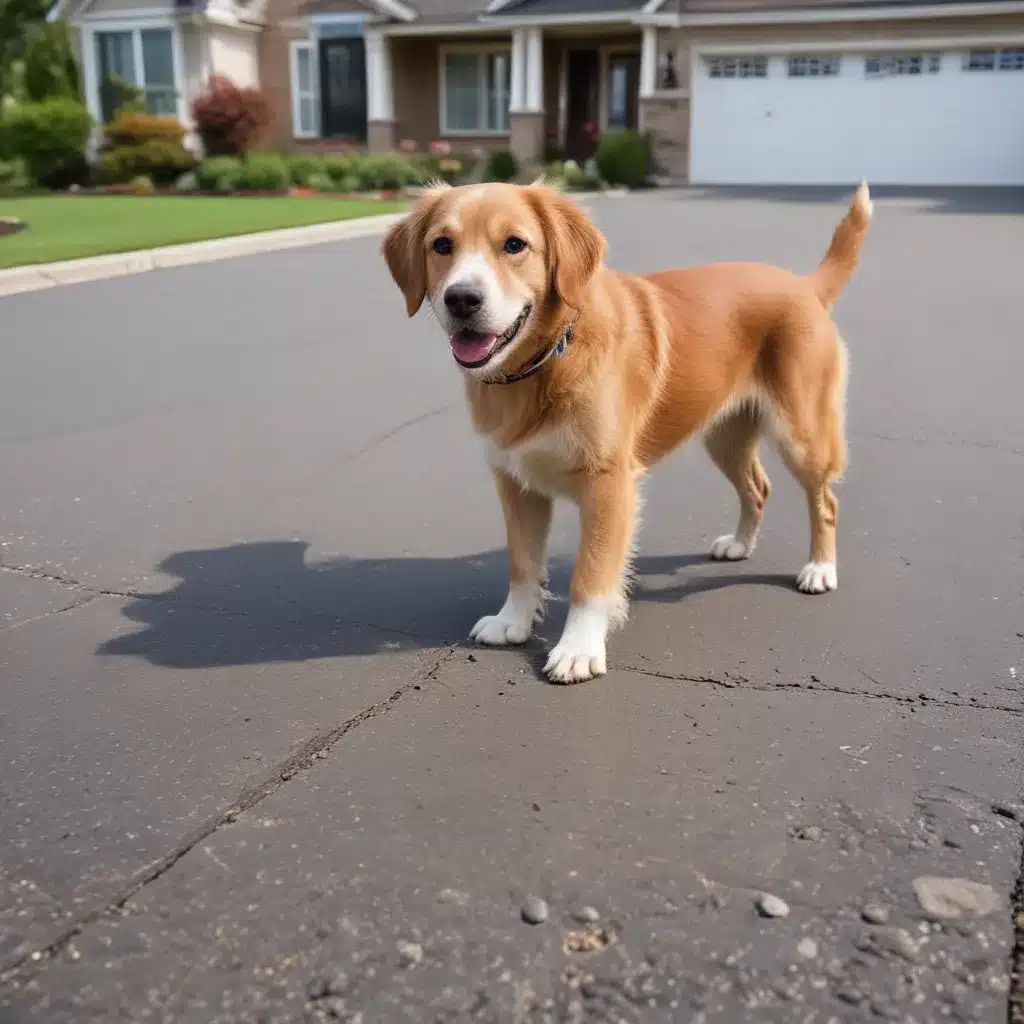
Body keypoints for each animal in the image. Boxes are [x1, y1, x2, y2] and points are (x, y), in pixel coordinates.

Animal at [385, 181, 872, 684]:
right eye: (442, 245)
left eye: (515, 244)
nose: (461, 299)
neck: (547, 360)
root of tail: (804, 284)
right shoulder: (516, 482)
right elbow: (521, 563)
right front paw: (512, 621)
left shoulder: (609, 484)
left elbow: (591, 574)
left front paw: (578, 648)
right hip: (723, 436)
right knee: (758, 487)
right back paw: (739, 544)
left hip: (803, 434)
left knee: (825, 501)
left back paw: (820, 568)